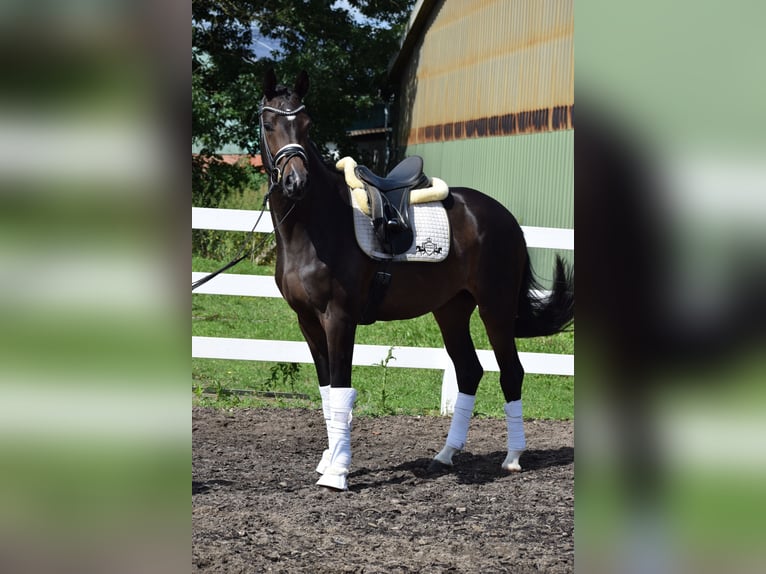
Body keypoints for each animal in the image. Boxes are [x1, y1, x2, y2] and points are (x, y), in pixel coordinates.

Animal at [260, 71, 572, 490]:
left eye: (307, 125)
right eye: (269, 123)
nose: (296, 181)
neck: (314, 226)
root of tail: (504, 218)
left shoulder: (338, 317)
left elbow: (341, 389)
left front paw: (338, 473)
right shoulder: (307, 321)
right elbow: (326, 392)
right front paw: (328, 462)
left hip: (496, 308)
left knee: (511, 372)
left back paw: (512, 457)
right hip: (451, 310)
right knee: (469, 371)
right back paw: (445, 456)